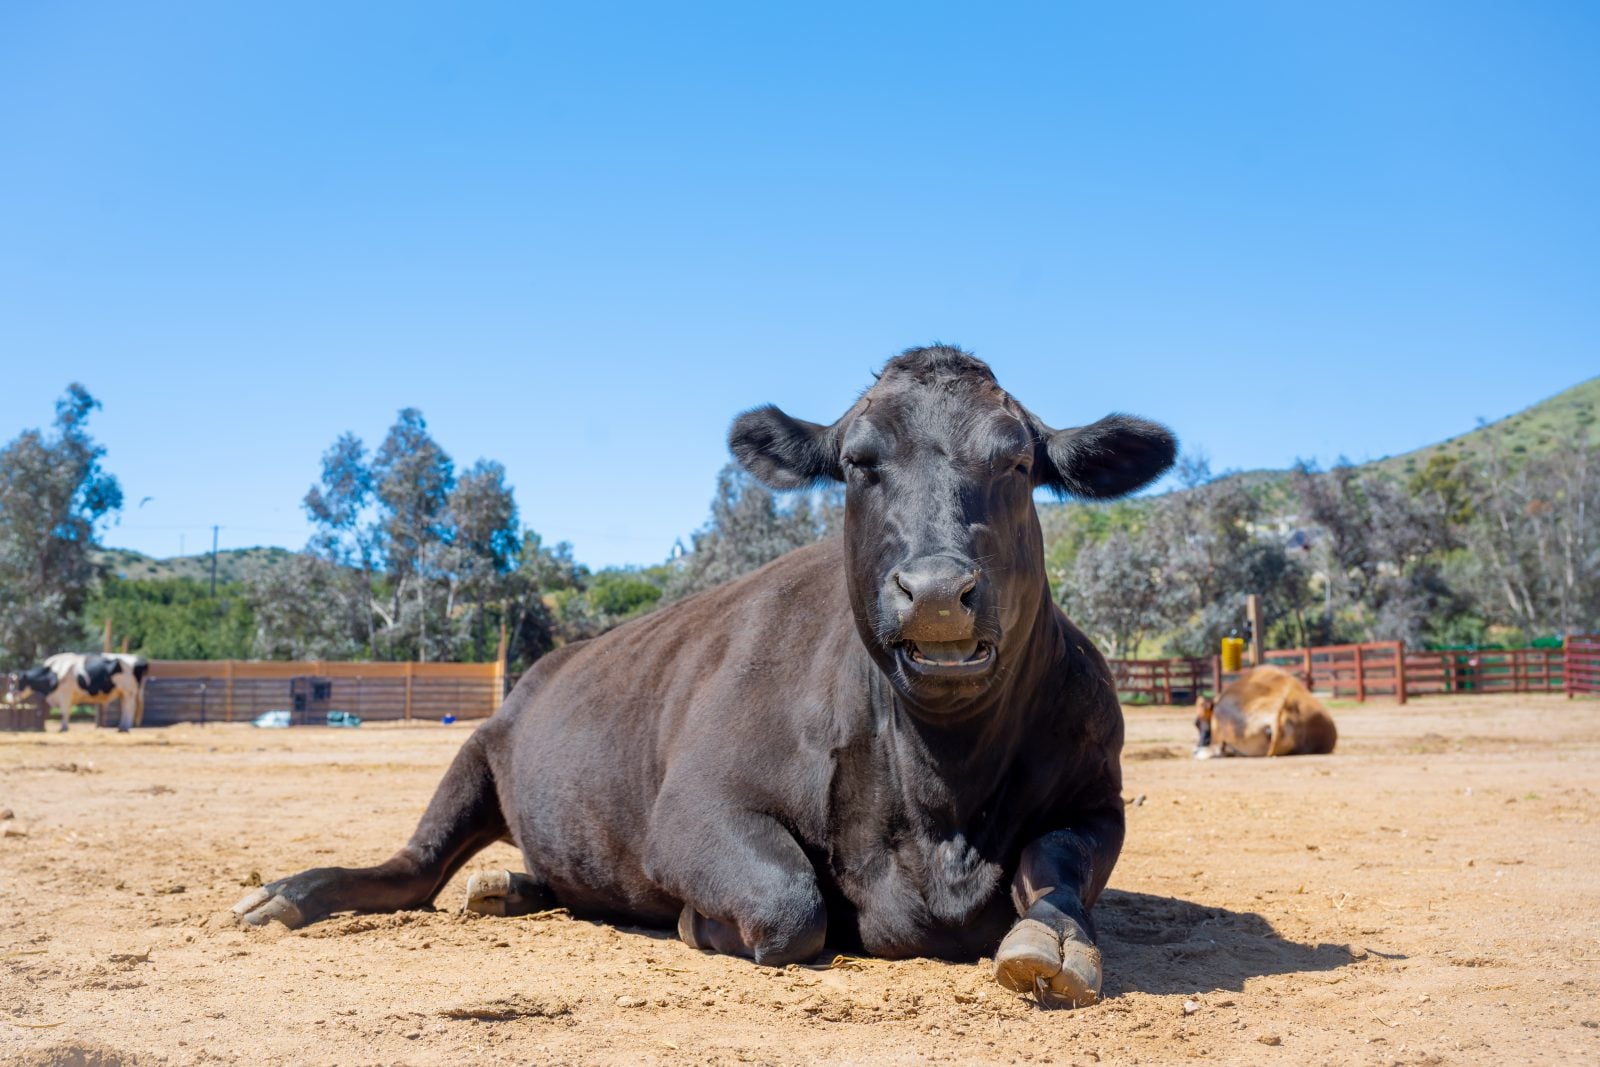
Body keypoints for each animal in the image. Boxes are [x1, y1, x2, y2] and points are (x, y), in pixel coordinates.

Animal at [5, 653, 150, 733]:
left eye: (15, 683)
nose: (8, 698)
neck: (54, 673)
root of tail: (140, 660)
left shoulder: (65, 694)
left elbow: (64, 712)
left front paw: (63, 728)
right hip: (123, 693)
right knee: (125, 708)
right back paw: (121, 727)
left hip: (129, 692)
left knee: (129, 708)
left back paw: (124, 728)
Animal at [234, 345, 1176, 1007]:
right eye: (859, 461)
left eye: (1016, 460)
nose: (938, 590)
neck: (941, 800)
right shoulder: (692, 808)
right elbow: (792, 906)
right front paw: (695, 919)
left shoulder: (1099, 793)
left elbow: (1055, 865)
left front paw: (1053, 940)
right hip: (477, 752)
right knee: (411, 866)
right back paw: (288, 892)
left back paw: (512, 883)